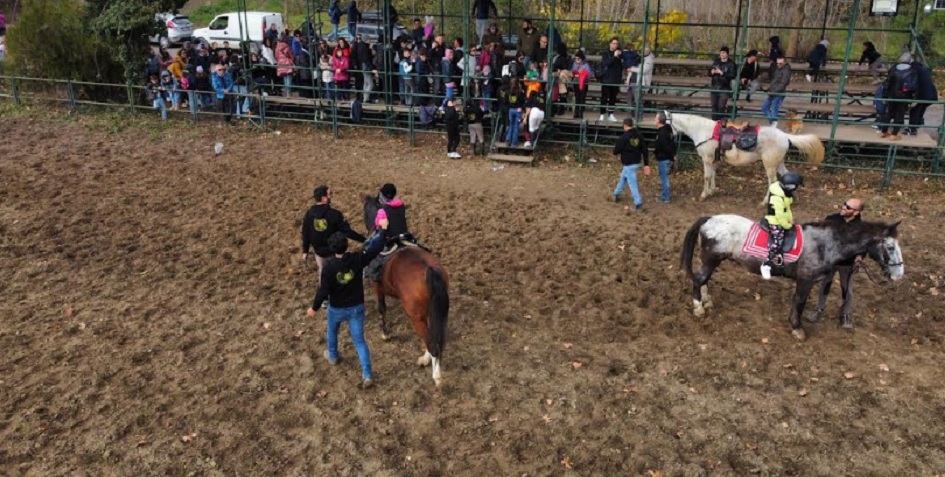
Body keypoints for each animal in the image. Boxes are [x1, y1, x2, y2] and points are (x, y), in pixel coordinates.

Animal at [362, 195, 450, 384]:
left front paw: (386, 334)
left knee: (432, 343)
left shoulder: (377, 287)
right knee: (431, 337)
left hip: (416, 316)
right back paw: (425, 359)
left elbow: (382, 308)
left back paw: (437, 377)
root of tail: (429, 270)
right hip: (430, 312)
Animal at [664, 111, 824, 203]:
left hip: (770, 165)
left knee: (772, 181)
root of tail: (785, 136)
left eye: (665, 123)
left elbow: (707, 176)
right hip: (779, 163)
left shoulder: (706, 159)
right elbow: (713, 175)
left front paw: (704, 195)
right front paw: (712, 191)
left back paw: (765, 201)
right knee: (786, 175)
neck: (704, 131)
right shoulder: (713, 160)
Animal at [684, 214, 904, 340]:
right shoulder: (805, 280)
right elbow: (799, 302)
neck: (825, 243)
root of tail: (710, 219)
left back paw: (706, 300)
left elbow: (797, 302)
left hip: (712, 260)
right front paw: (797, 328)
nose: (899, 274)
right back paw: (698, 308)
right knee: (698, 279)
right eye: (890, 247)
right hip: (711, 259)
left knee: (703, 279)